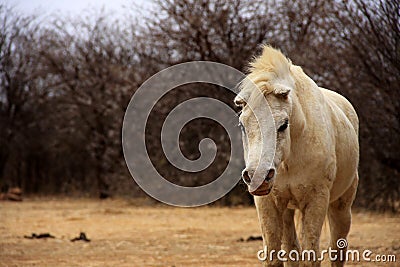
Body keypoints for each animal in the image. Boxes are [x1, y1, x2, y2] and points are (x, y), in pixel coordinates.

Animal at [234, 45, 360, 266]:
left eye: (283, 124)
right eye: (242, 125)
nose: (259, 176)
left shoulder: (316, 200)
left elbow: (311, 256)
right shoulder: (268, 203)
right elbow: (275, 256)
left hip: (341, 207)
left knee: (337, 250)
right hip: (287, 210)